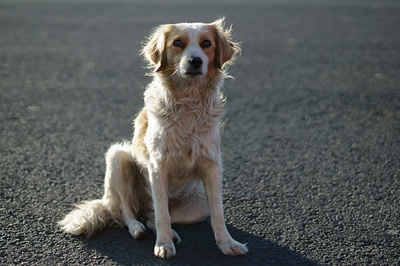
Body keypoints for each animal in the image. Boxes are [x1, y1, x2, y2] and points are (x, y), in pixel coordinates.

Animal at [59, 18, 247, 260]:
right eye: (178, 43)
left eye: (206, 43)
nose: (195, 61)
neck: (188, 103)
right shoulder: (158, 166)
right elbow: (162, 214)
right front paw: (164, 245)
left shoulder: (212, 166)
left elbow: (218, 213)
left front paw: (227, 244)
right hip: (117, 157)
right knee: (127, 211)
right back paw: (137, 228)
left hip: (197, 206)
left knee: (150, 215)